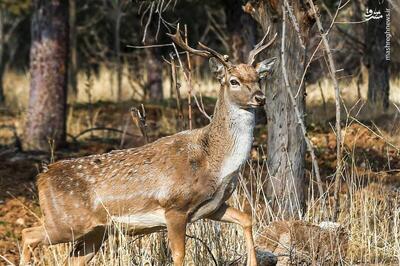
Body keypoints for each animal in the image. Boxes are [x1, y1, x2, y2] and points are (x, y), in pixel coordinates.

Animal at [20, 25, 276, 266]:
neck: (214, 161)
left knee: (69, 257)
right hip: (66, 221)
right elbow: (179, 255)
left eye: (259, 78)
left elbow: (246, 218)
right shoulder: (174, 207)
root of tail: (41, 177)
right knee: (27, 234)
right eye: (234, 81)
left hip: (94, 232)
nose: (260, 98)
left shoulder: (213, 206)